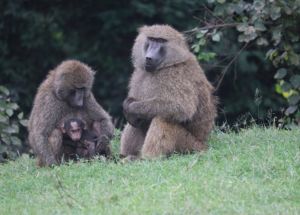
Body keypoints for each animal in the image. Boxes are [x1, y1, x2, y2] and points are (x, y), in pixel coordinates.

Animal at [120, 24, 217, 160]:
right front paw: (127, 105)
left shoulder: (175, 76)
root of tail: (204, 144)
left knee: (163, 119)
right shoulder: (139, 73)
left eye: (161, 41)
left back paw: (147, 159)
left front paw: (130, 107)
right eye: (151, 39)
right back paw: (126, 156)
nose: (149, 57)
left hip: (189, 145)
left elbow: (181, 107)